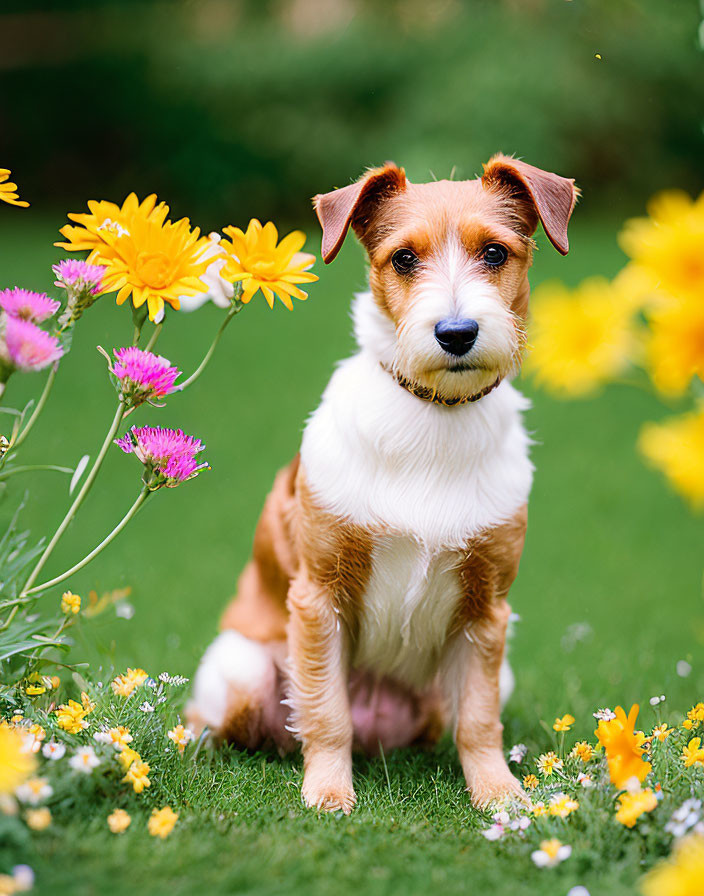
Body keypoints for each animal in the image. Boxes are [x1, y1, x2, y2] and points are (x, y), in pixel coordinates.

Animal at [187, 154, 576, 812]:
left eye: (495, 253)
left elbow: (479, 721)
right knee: (230, 720)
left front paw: (500, 797)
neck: (434, 416)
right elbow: (325, 712)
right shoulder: (318, 597)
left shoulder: (487, 612)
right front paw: (327, 793)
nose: (456, 333)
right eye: (404, 258)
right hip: (238, 666)